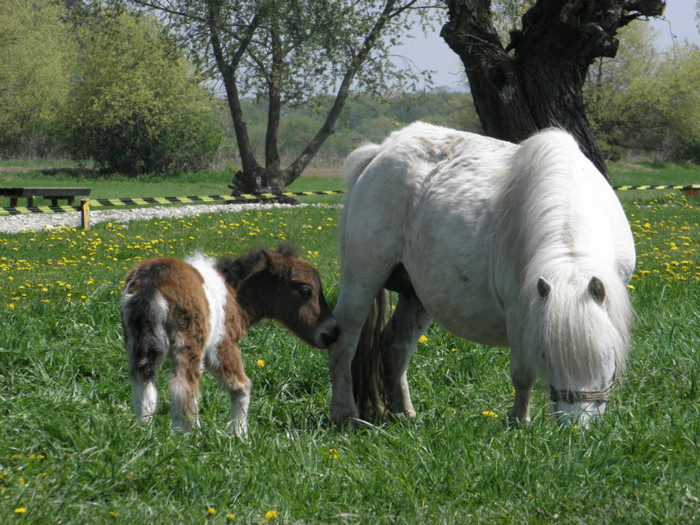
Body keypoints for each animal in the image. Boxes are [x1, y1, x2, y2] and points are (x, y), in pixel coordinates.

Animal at [120, 246, 340, 434]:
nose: (333, 332)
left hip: (139, 341)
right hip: (189, 342)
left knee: (144, 385)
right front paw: (240, 436)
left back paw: (147, 435)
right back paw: (191, 437)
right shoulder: (221, 344)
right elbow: (241, 385)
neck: (233, 292)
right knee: (183, 387)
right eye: (306, 290)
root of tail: (150, 284)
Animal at [328, 122, 636, 426]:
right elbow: (523, 375)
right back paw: (344, 414)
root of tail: (381, 150)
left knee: (395, 344)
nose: (575, 428)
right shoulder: (519, 313)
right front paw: (518, 422)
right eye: (546, 353)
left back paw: (403, 412)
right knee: (344, 340)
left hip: (416, 295)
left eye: (608, 354)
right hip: (362, 279)